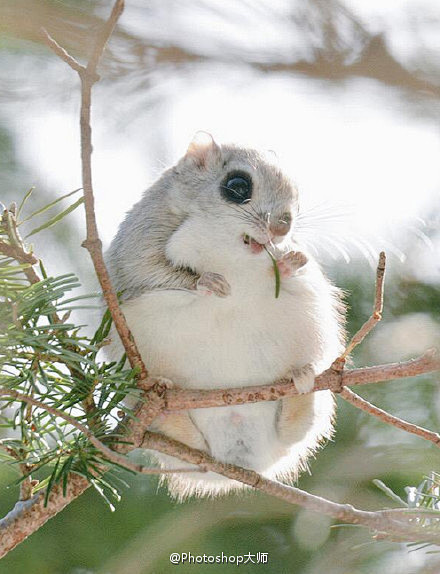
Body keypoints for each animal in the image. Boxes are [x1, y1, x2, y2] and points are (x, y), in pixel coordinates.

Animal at [105, 133, 344, 502]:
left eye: (297, 196)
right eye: (237, 186)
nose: (282, 227)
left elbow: (290, 268)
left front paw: (292, 260)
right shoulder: (138, 247)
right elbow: (153, 271)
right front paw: (208, 283)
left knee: (295, 429)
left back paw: (300, 382)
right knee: (181, 436)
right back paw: (166, 403)